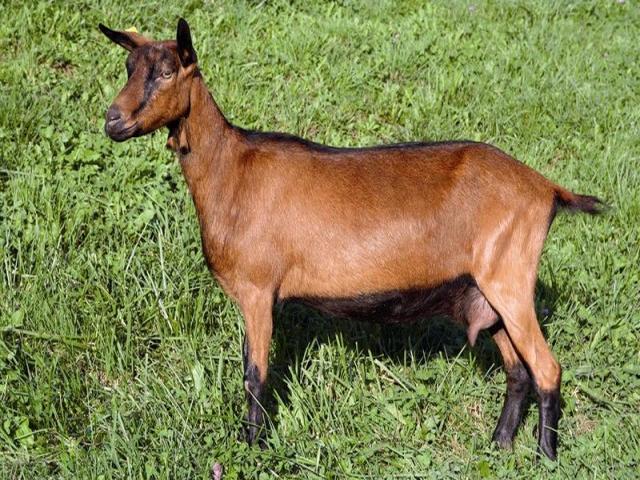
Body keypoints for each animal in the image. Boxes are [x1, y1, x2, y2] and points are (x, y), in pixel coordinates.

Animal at [99, 18, 604, 460]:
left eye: (167, 71)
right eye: (128, 67)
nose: (112, 120)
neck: (233, 172)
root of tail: (546, 189)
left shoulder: (259, 290)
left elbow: (254, 374)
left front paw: (251, 447)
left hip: (510, 279)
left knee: (546, 368)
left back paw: (546, 458)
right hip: (486, 293)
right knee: (518, 371)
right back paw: (499, 446)